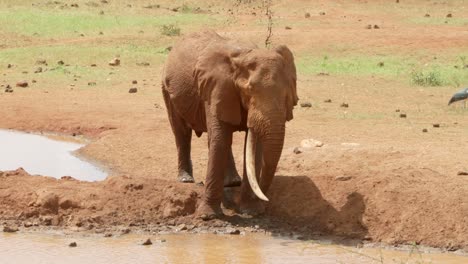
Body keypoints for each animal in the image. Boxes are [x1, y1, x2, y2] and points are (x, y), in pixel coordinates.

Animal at [163, 31, 298, 220]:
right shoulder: (216, 90)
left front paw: (251, 211)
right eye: (249, 90)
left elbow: (254, 145)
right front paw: (208, 216)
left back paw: (233, 181)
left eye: (287, 94)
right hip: (167, 88)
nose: (265, 199)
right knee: (182, 132)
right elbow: (220, 140)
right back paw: (185, 179)